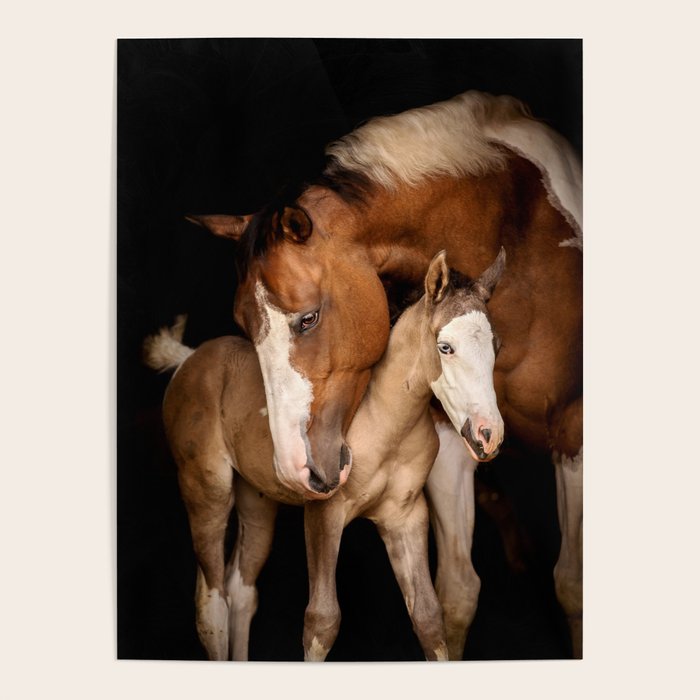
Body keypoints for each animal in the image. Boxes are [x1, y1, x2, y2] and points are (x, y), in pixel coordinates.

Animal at [144, 249, 505, 660]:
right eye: (445, 347)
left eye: (496, 348)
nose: (489, 434)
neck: (383, 420)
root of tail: (188, 360)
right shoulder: (325, 512)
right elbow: (322, 620)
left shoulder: (406, 516)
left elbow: (429, 618)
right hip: (206, 489)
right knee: (212, 601)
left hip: (257, 499)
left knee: (241, 589)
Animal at [187, 90, 583, 657]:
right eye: (244, 326)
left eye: (308, 318)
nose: (293, 468)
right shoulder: (448, 439)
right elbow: (456, 594)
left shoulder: (573, 432)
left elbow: (572, 586)